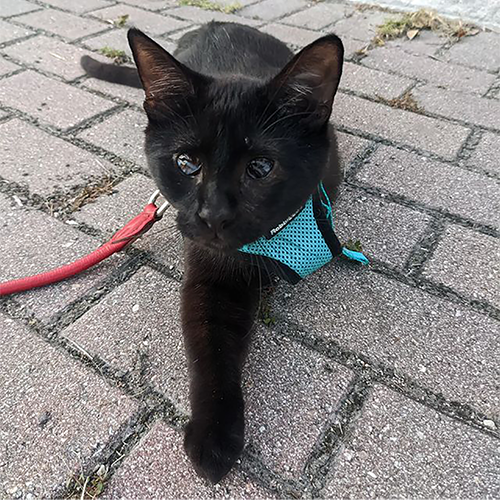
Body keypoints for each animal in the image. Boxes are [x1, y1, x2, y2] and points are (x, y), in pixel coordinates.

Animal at [81, 24, 344, 484]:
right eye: (186, 162)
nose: (213, 214)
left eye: (260, 167)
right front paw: (214, 435)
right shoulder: (209, 275)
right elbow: (211, 345)